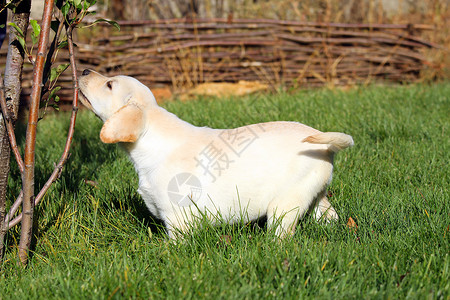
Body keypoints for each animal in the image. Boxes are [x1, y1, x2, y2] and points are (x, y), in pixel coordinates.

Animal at [79, 69, 354, 238]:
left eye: (109, 84)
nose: (83, 71)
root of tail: (324, 143)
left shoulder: (178, 218)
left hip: (285, 204)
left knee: (282, 235)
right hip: (315, 193)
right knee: (329, 214)